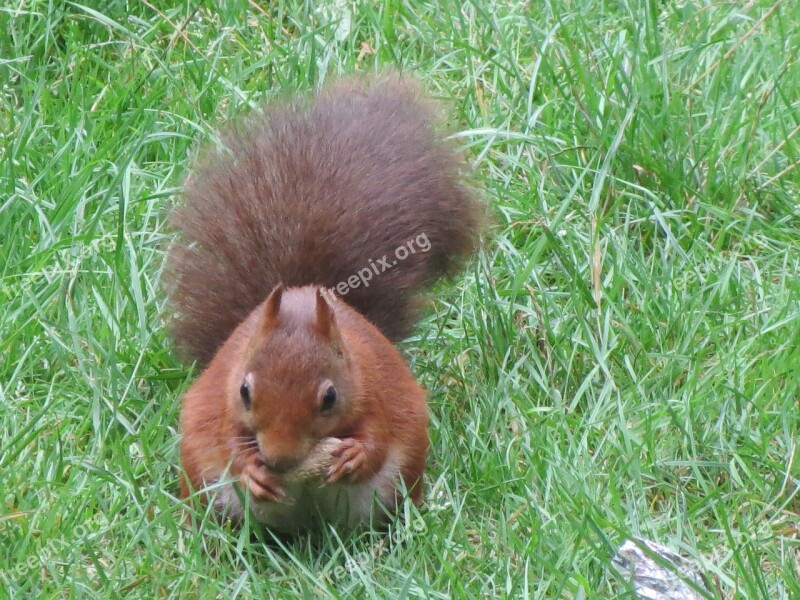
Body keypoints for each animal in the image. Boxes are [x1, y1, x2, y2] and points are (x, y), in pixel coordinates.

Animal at [164, 71, 482, 536]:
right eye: (244, 390)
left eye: (330, 397)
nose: (279, 459)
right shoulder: (221, 401)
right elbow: (227, 440)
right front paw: (253, 471)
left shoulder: (376, 386)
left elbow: (380, 433)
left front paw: (355, 456)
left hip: (398, 484)